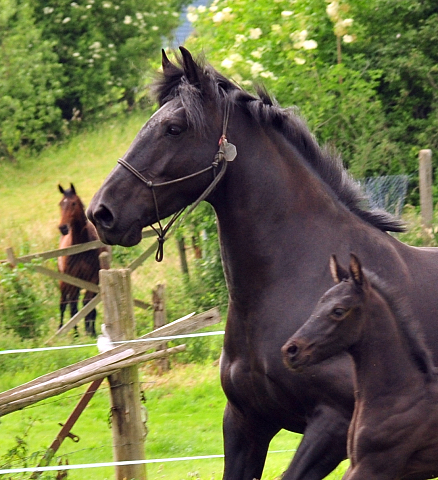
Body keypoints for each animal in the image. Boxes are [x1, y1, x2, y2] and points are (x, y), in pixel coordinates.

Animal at [282, 253, 438, 478]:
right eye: (318, 304)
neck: (401, 393)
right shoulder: (358, 466)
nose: (291, 350)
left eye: (338, 310)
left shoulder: (374, 466)